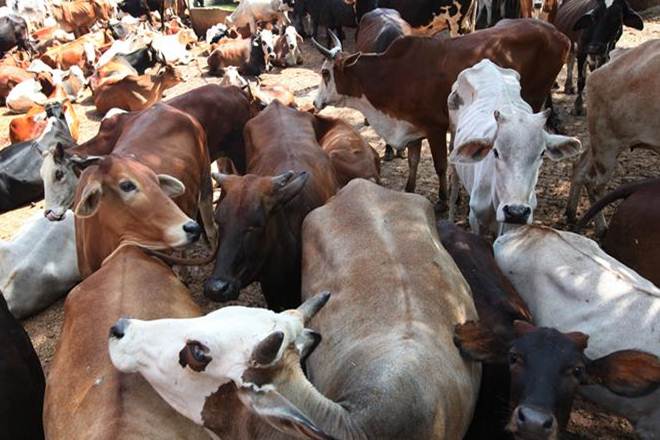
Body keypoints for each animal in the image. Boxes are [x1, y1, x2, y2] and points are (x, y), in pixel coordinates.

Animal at [314, 19, 570, 211]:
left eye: (325, 72)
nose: (315, 102)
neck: (394, 74)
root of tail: (559, 34)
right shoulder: (411, 126)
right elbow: (413, 161)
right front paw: (409, 190)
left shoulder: (435, 128)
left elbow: (440, 165)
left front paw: (443, 200)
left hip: (534, 101)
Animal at [447, 59, 581, 236]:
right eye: (495, 152)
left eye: (542, 153)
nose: (516, 211)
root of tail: (486, 63)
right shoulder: (475, 219)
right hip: (453, 140)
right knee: (454, 185)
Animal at [566, 39, 660, 227]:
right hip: (606, 145)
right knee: (594, 184)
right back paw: (601, 229)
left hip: (598, 139)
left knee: (579, 165)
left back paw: (571, 213)